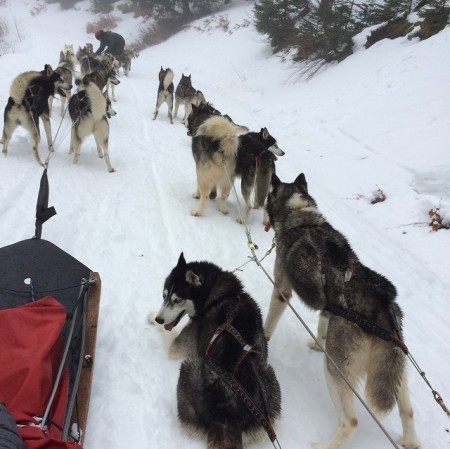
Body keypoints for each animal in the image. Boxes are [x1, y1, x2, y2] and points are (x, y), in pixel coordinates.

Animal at [148, 252, 282, 448]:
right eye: (164, 295)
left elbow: (169, 335)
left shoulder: (177, 346)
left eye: (177, 300)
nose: (159, 318)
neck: (221, 294)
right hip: (267, 378)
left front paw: (151, 317)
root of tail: (226, 416)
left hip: (188, 367)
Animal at [264, 173, 418, 448]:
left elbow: (269, 322)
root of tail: (382, 306)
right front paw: (317, 343)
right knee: (407, 410)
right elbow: (322, 324)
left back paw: (325, 444)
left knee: (351, 421)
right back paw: (410, 441)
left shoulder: (281, 291)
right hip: (394, 370)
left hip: (335, 370)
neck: (302, 218)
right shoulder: (329, 310)